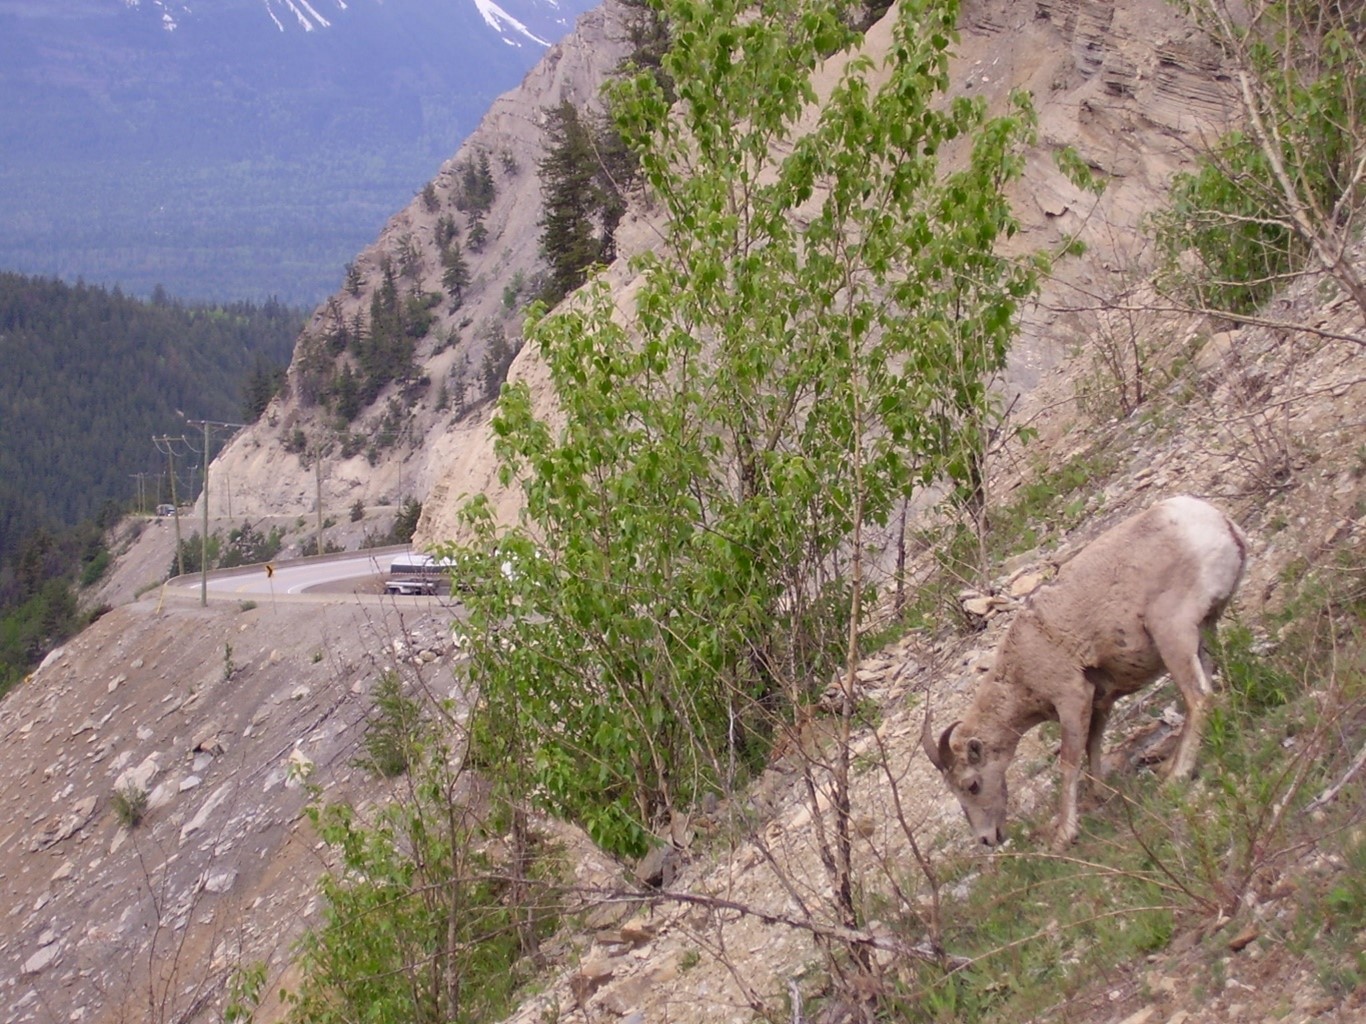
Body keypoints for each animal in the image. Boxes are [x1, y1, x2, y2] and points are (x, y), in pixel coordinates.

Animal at [923, 496, 1245, 851]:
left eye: (972, 785)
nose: (986, 838)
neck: (1022, 664)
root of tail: (1218, 523)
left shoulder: (1072, 698)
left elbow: (1068, 762)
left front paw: (1065, 835)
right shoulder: (1099, 701)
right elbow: (1093, 746)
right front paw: (1099, 797)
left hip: (1172, 634)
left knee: (1199, 699)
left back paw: (1175, 778)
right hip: (1205, 632)